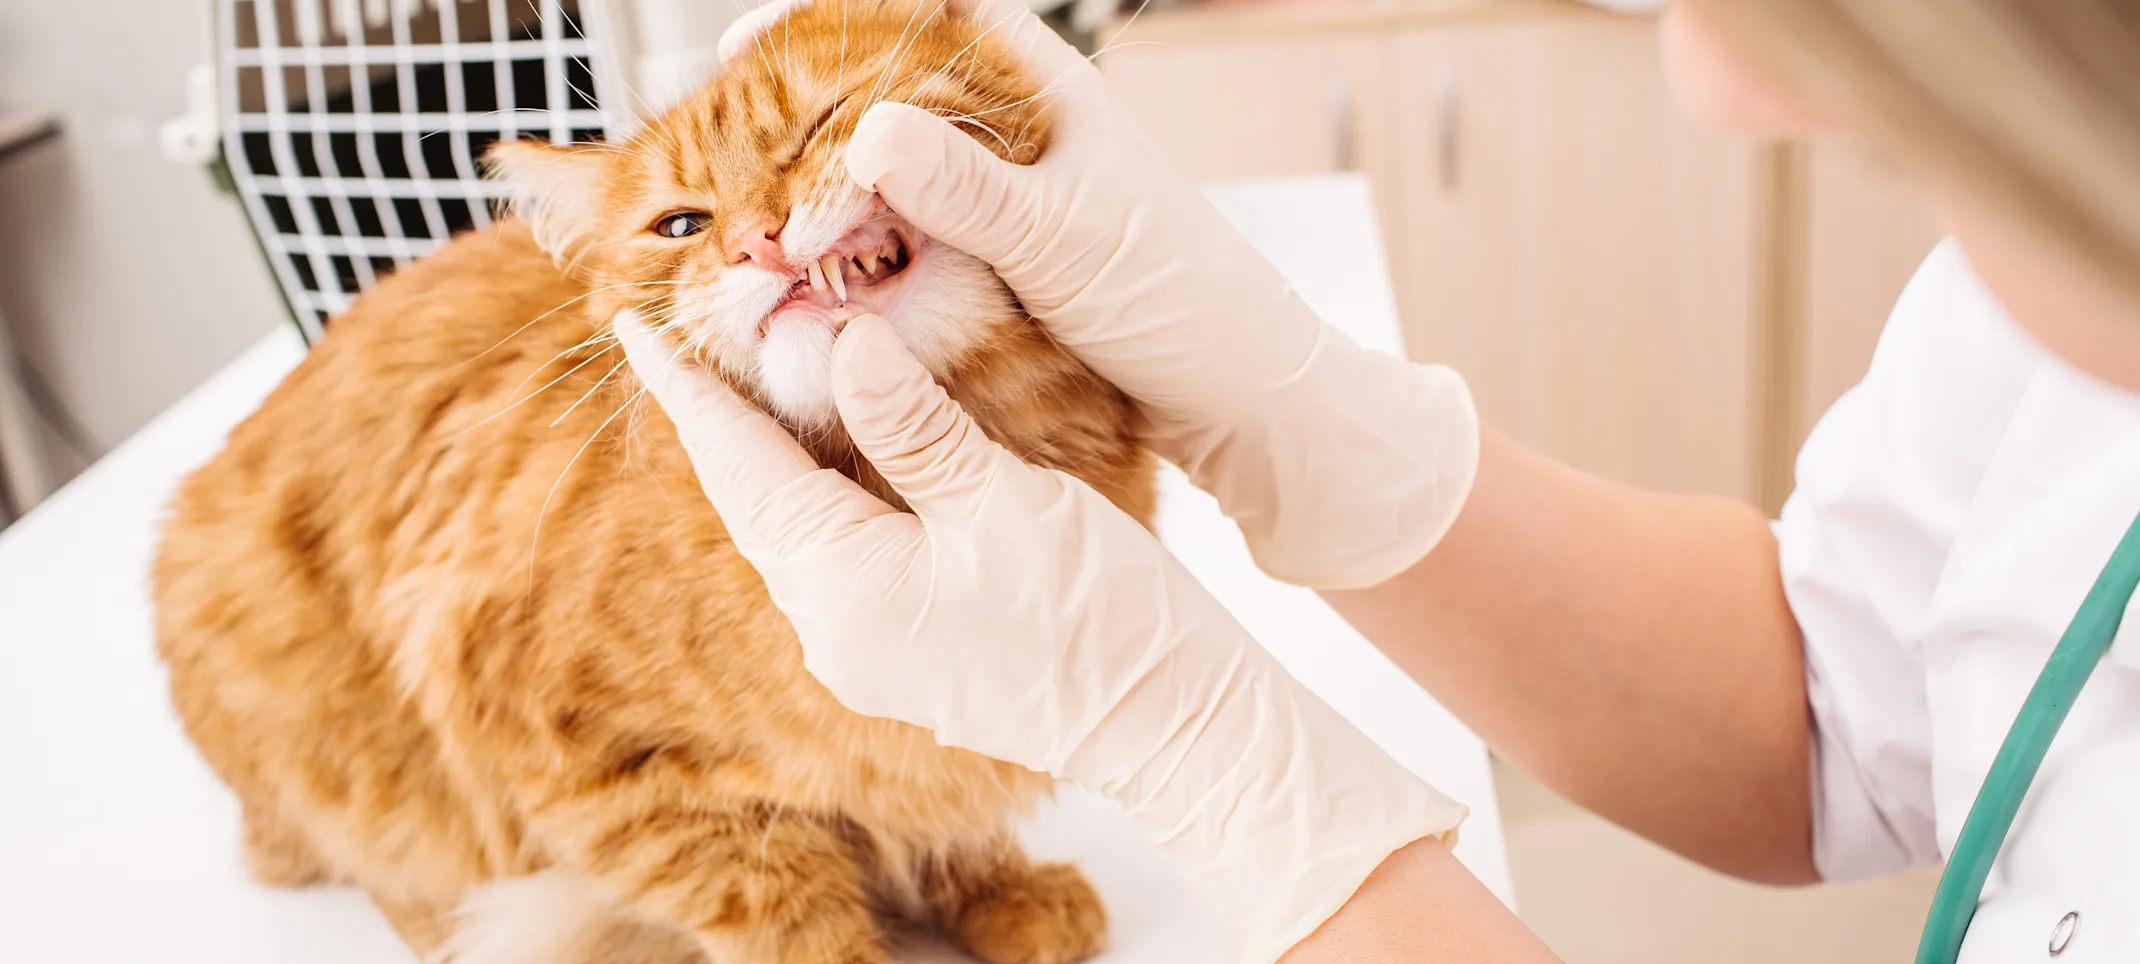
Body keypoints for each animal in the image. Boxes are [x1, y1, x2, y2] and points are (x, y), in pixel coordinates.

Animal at [155, 3, 1155, 959]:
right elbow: (792, 925)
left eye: (822, 124)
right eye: (683, 225)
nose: (758, 240)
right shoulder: (617, 783)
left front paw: (999, 889)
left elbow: (945, 809)